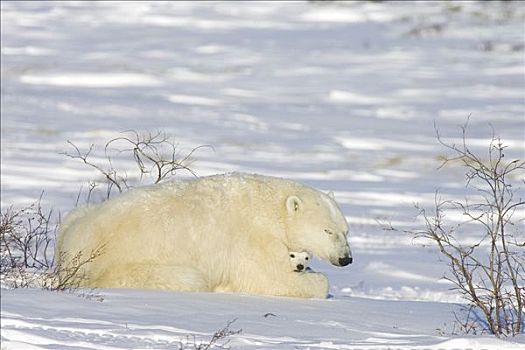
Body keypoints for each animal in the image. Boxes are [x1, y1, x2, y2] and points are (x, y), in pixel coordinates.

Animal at [57, 173, 350, 298]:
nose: (346, 259)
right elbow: (271, 279)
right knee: (190, 278)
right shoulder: (251, 239)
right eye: (328, 230)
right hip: (129, 267)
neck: (271, 207)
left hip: (76, 217)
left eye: (346, 231)